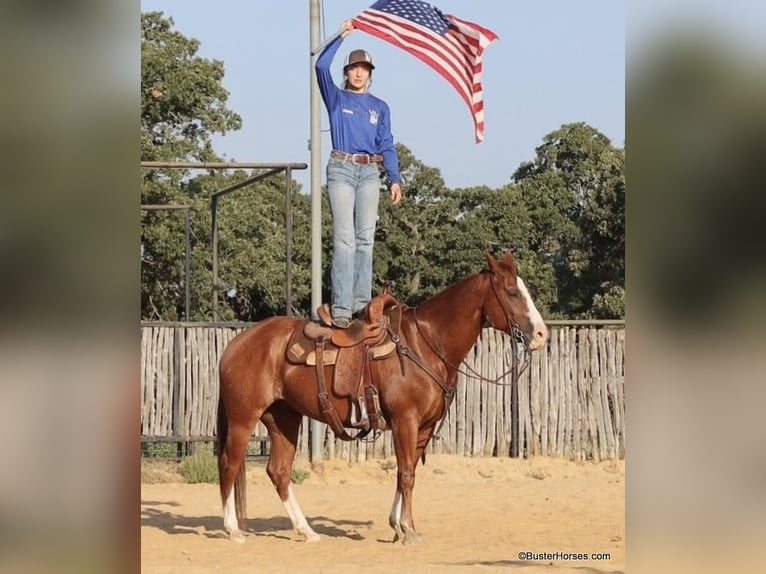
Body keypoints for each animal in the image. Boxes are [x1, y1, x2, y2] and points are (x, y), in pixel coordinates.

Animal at [219, 252, 548, 544]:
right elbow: (406, 474)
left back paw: (307, 531)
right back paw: (233, 530)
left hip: (284, 419)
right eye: (512, 293)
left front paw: (398, 525)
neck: (425, 344)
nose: (542, 334)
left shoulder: (424, 427)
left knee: (279, 472)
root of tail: (237, 343)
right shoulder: (405, 421)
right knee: (229, 463)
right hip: (242, 418)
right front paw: (408, 529)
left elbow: (407, 471)